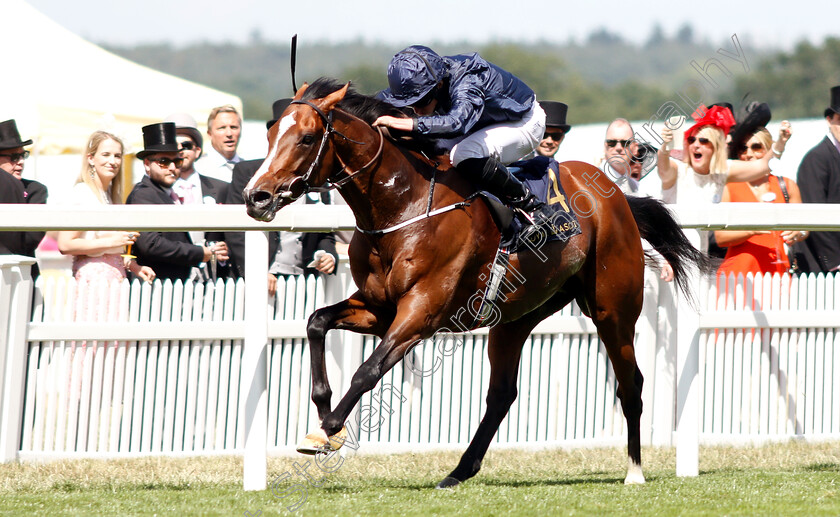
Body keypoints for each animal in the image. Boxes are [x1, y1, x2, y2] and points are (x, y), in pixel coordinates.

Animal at [243, 77, 708, 488]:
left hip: (613, 311)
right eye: (270, 134)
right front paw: (324, 413)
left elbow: (367, 370)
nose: (255, 196)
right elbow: (316, 322)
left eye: (306, 138)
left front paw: (328, 431)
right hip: (515, 317)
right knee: (501, 394)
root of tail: (616, 193)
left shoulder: (421, 312)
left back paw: (634, 471)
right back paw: (458, 471)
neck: (403, 205)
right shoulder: (380, 307)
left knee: (631, 383)